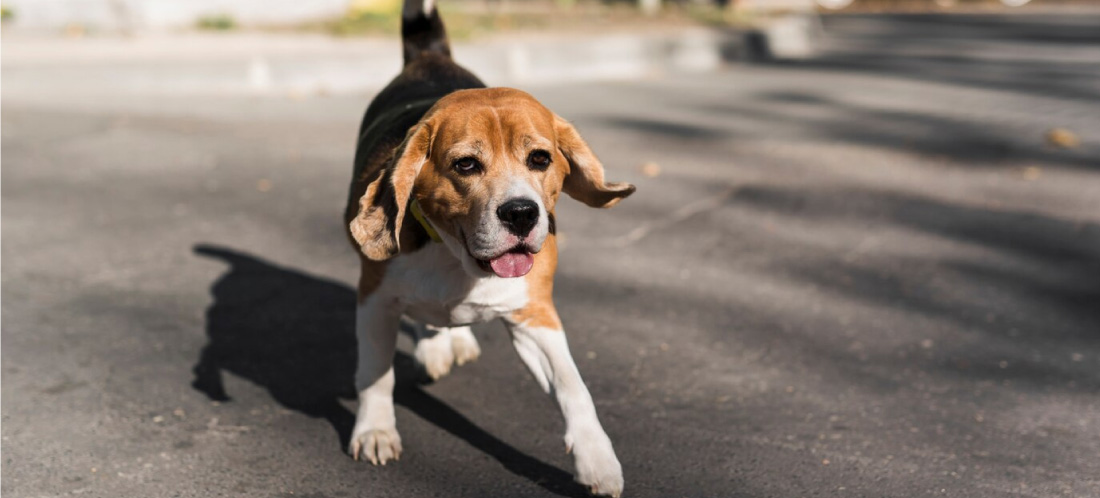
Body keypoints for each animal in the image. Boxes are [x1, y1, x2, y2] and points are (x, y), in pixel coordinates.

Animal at [341, 0, 638, 492]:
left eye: (540, 158)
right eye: (466, 165)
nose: (521, 214)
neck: (458, 260)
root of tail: (430, 56)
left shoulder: (534, 316)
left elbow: (573, 386)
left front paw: (597, 459)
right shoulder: (374, 302)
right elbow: (375, 374)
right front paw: (375, 430)